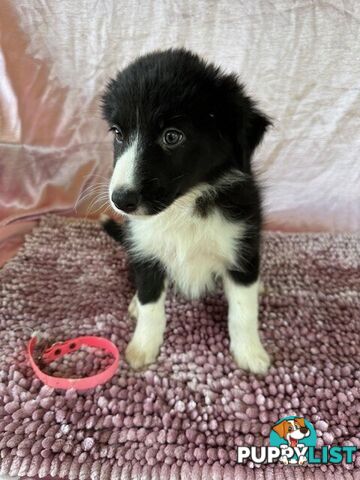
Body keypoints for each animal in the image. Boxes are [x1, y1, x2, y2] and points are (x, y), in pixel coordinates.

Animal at [100, 48, 270, 374]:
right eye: (117, 133)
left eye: (172, 136)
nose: (121, 200)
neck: (185, 206)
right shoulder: (145, 250)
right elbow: (151, 304)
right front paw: (142, 347)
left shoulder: (241, 245)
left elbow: (243, 311)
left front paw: (250, 353)